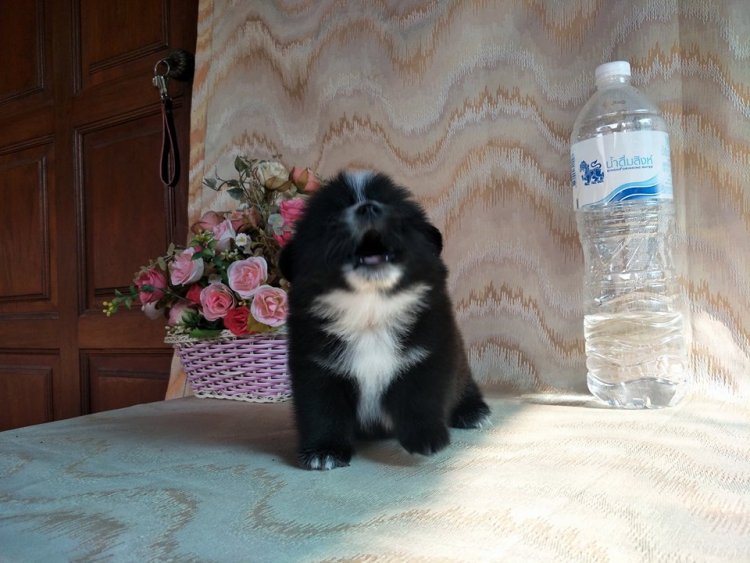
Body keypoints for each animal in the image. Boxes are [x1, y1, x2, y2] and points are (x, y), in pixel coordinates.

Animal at [279, 171, 491, 470]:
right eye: (331, 220)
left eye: (396, 212)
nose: (368, 208)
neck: (370, 310)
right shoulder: (314, 366)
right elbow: (321, 408)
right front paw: (324, 451)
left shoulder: (431, 352)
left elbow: (421, 396)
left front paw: (426, 438)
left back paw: (473, 412)